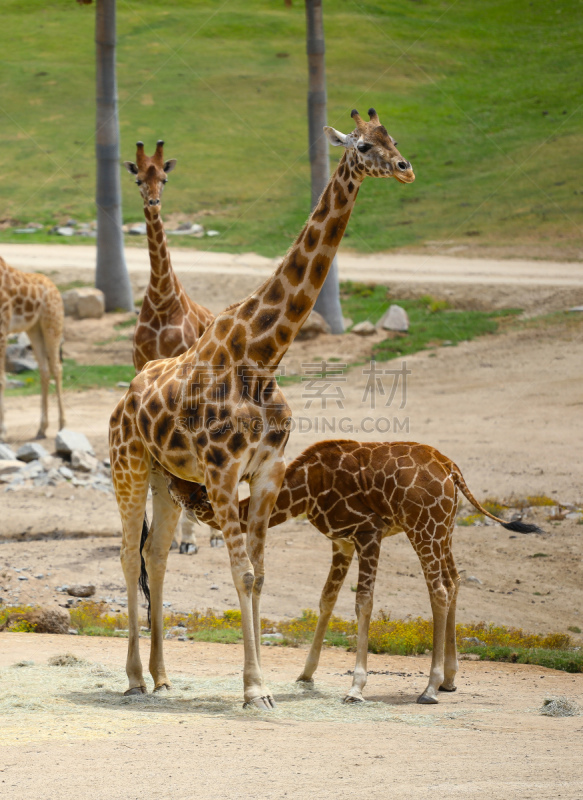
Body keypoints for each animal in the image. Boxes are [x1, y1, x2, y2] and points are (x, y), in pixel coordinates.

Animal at [109, 108, 418, 708]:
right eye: (363, 145)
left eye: (393, 138)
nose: (405, 168)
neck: (263, 355)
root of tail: (124, 398)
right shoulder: (224, 473)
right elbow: (243, 572)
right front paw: (255, 689)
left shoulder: (267, 471)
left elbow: (260, 575)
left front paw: (263, 682)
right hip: (128, 467)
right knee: (128, 554)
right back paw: (133, 677)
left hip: (164, 475)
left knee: (155, 556)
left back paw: (161, 676)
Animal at [161, 444, 544, 708]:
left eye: (186, 482)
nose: (167, 479)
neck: (304, 490)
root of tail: (452, 470)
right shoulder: (342, 541)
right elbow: (326, 599)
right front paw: (306, 674)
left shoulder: (368, 533)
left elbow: (363, 602)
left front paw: (356, 689)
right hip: (443, 528)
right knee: (455, 580)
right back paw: (449, 679)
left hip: (423, 527)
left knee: (438, 588)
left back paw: (430, 688)